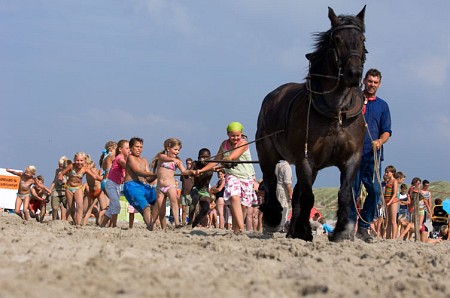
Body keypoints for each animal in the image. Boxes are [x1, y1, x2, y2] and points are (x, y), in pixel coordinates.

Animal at [258, 5, 368, 241]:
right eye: (337, 39)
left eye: (361, 38)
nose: (354, 74)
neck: (336, 113)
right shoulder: (306, 159)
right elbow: (307, 196)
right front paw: (305, 231)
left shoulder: (351, 159)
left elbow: (345, 194)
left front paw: (341, 231)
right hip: (267, 152)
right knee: (271, 181)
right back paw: (275, 217)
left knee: (296, 193)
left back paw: (292, 230)